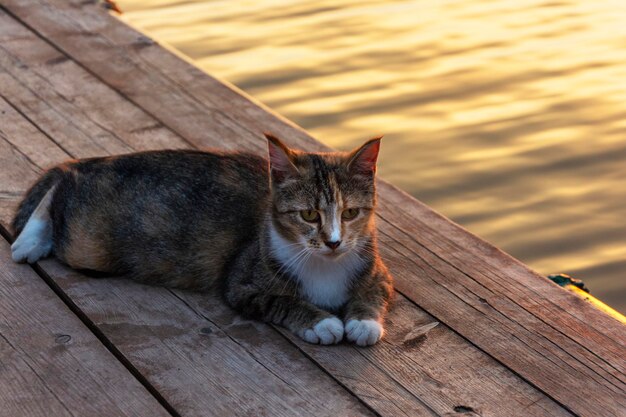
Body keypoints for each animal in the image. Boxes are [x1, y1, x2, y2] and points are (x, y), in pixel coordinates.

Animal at [11, 133, 390, 344]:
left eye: (350, 213)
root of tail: (95, 161)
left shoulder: (380, 272)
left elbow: (375, 293)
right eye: (309, 215)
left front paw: (363, 322)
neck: (323, 267)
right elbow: (281, 301)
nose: (334, 242)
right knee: (63, 183)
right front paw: (321, 321)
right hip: (89, 242)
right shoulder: (242, 285)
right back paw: (29, 241)